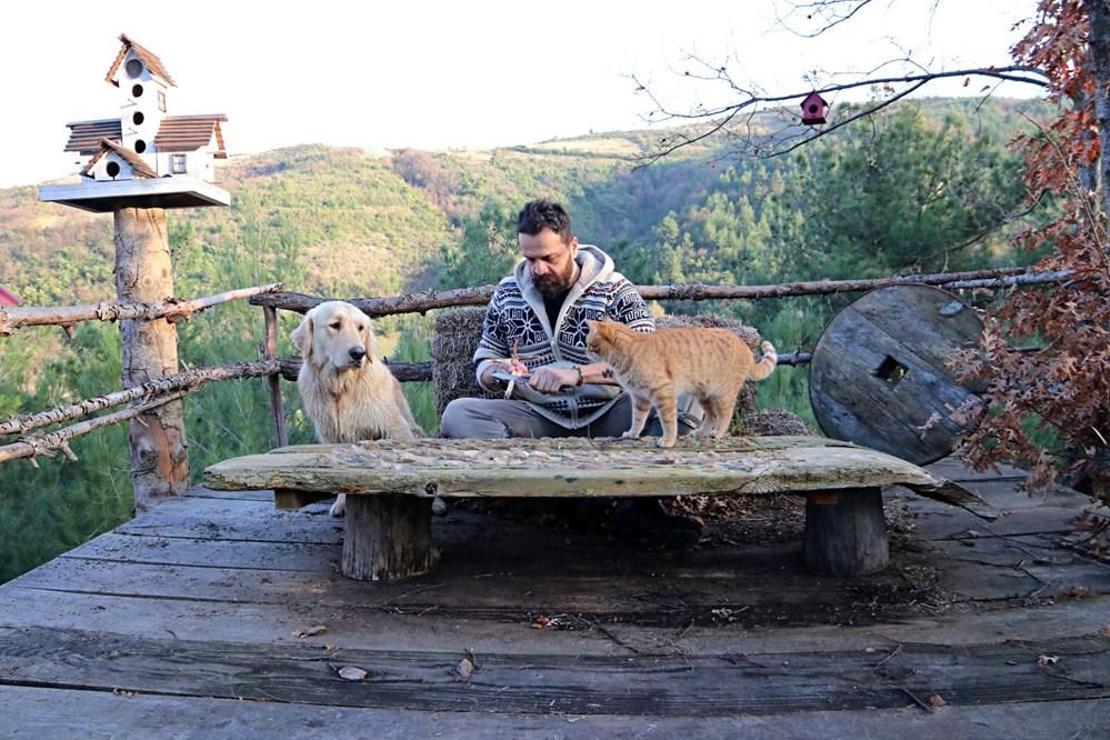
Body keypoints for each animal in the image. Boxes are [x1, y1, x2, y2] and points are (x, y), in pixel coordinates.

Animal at [290, 299, 424, 514]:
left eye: (361, 328)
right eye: (335, 325)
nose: (358, 353)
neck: (341, 386)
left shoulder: (395, 428)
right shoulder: (331, 435)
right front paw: (341, 503)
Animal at [586, 319, 777, 445]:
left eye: (589, 343)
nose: (585, 349)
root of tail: (746, 347)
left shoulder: (663, 393)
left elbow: (668, 421)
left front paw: (668, 441)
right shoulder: (640, 398)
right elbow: (637, 420)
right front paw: (632, 434)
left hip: (723, 394)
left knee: (725, 415)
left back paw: (717, 434)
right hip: (704, 396)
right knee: (712, 416)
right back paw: (700, 433)